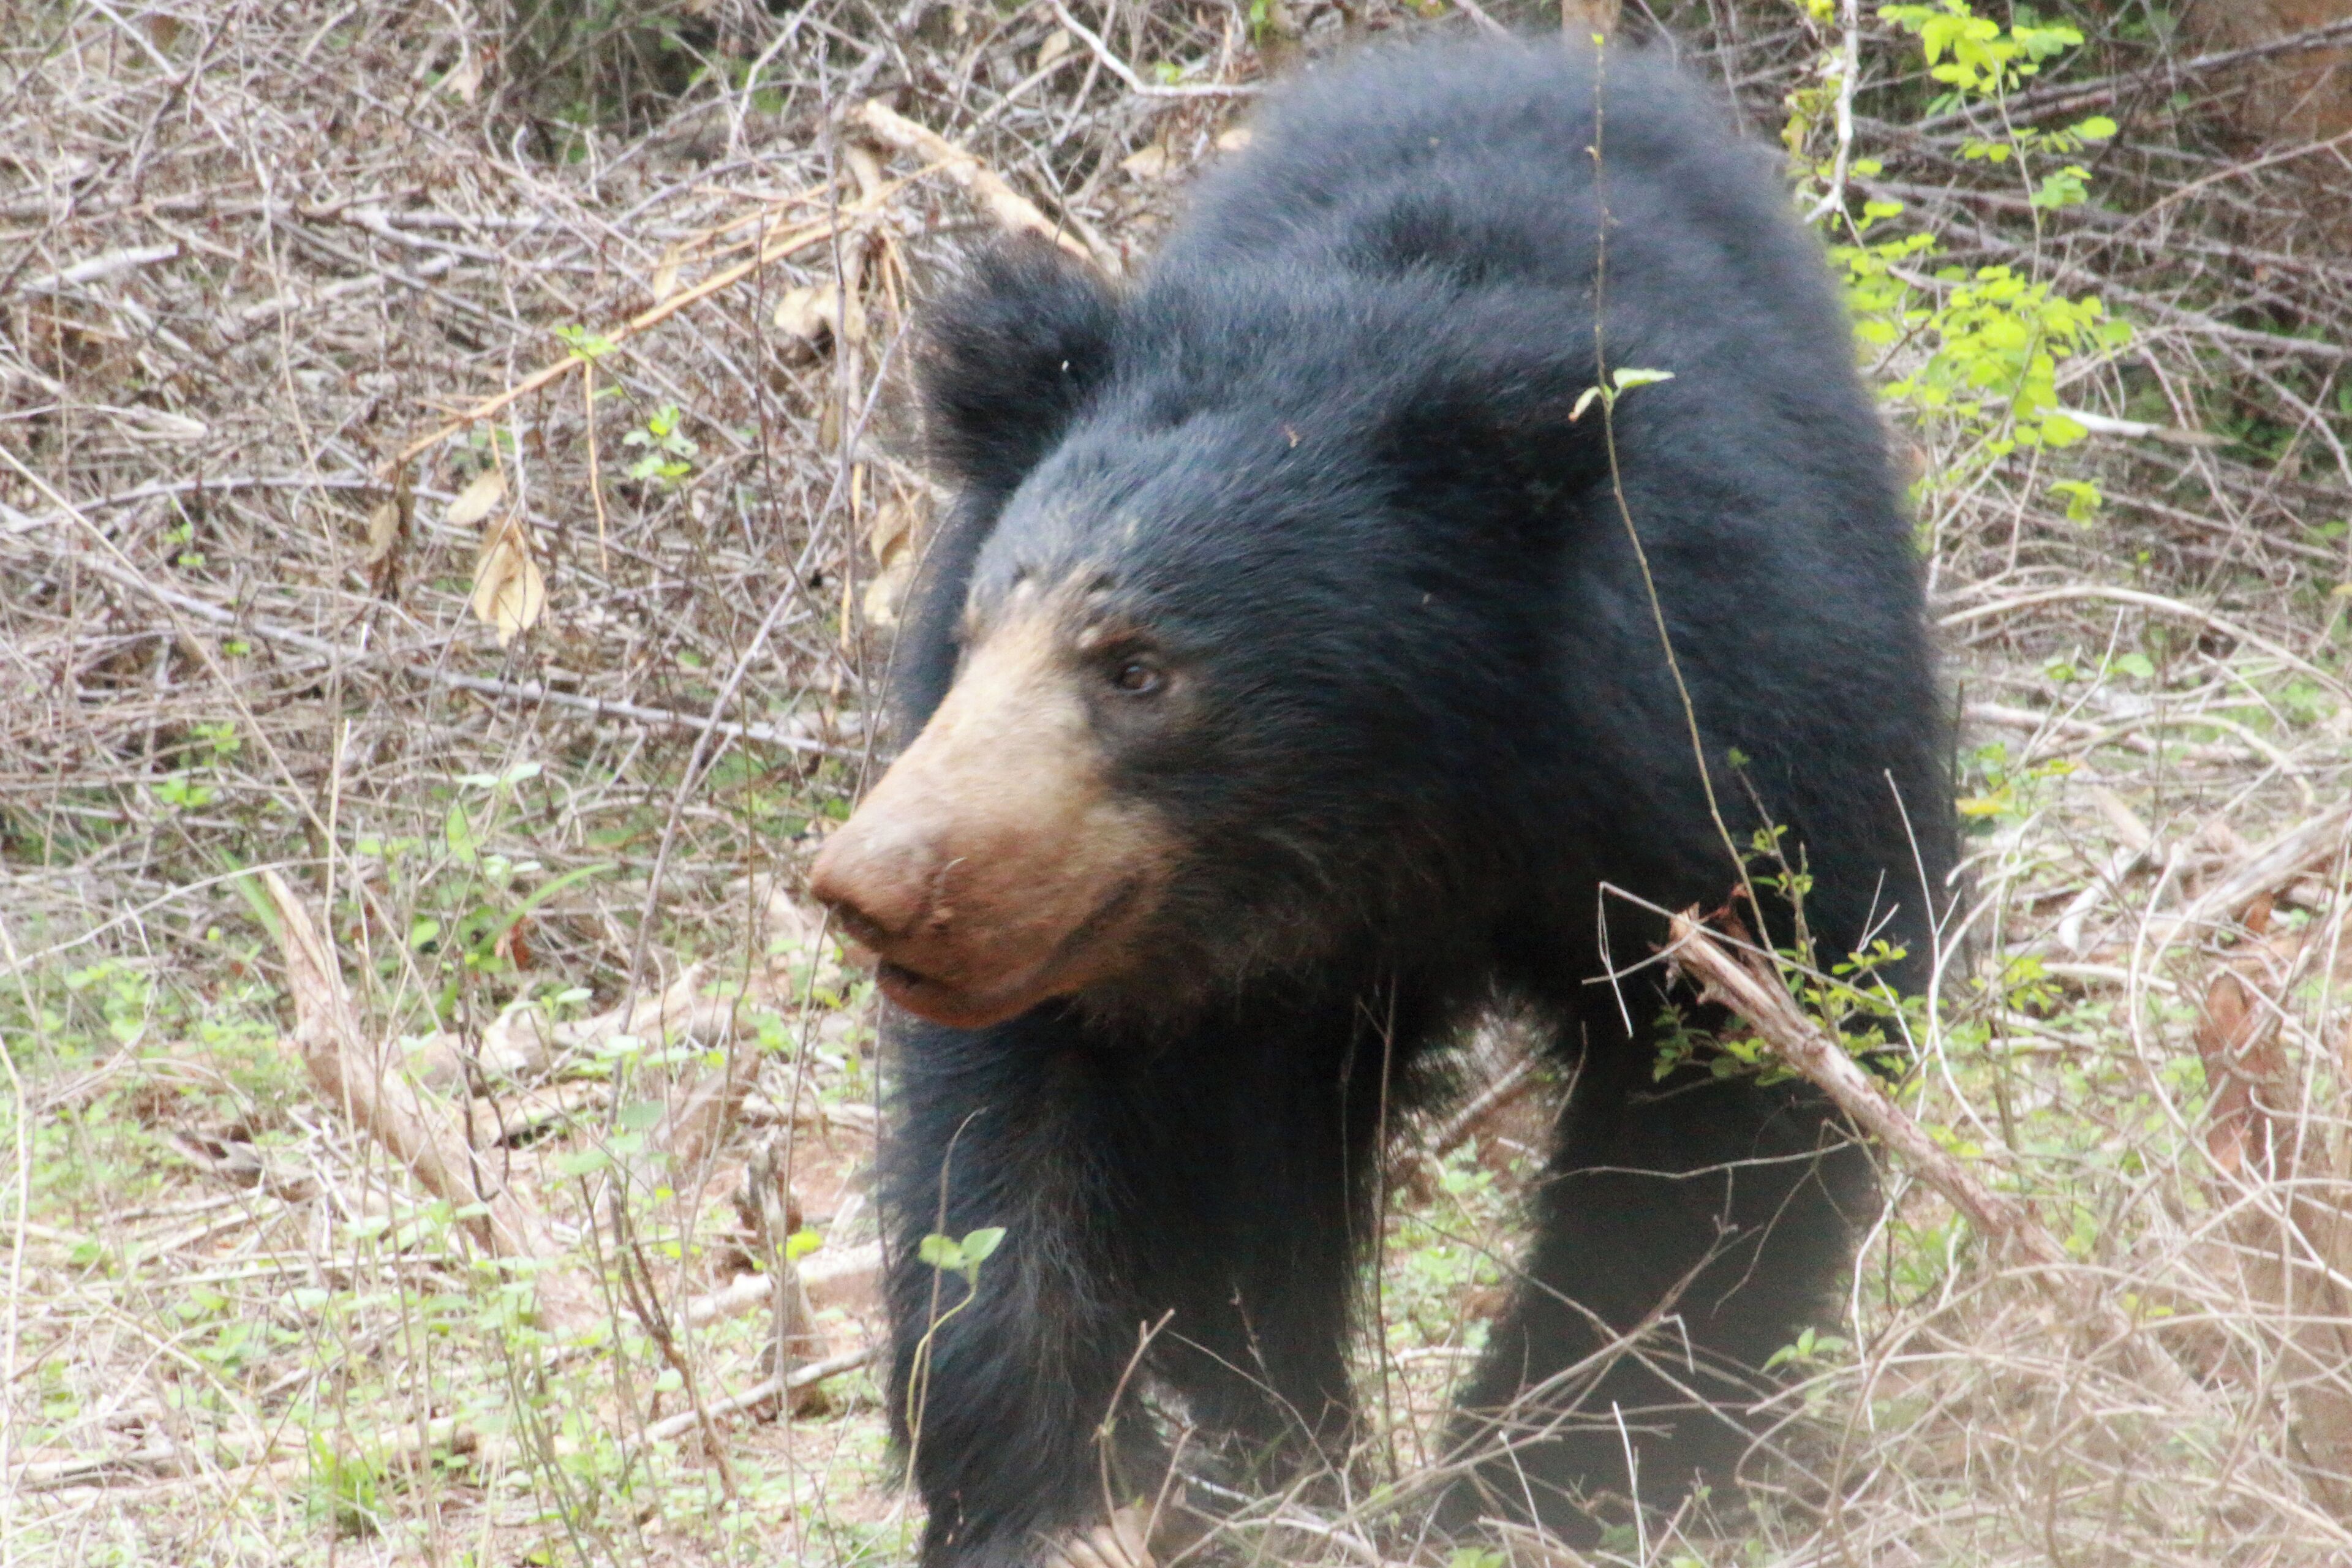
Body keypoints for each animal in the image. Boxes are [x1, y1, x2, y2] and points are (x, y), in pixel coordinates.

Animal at [809, 35, 1954, 1568]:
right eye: (979, 630)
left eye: (1138, 667)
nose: (872, 884)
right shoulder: (1099, 925)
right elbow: (1031, 1153)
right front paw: (1069, 1492)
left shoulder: (1738, 722)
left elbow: (1721, 1096)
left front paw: (1555, 1476)